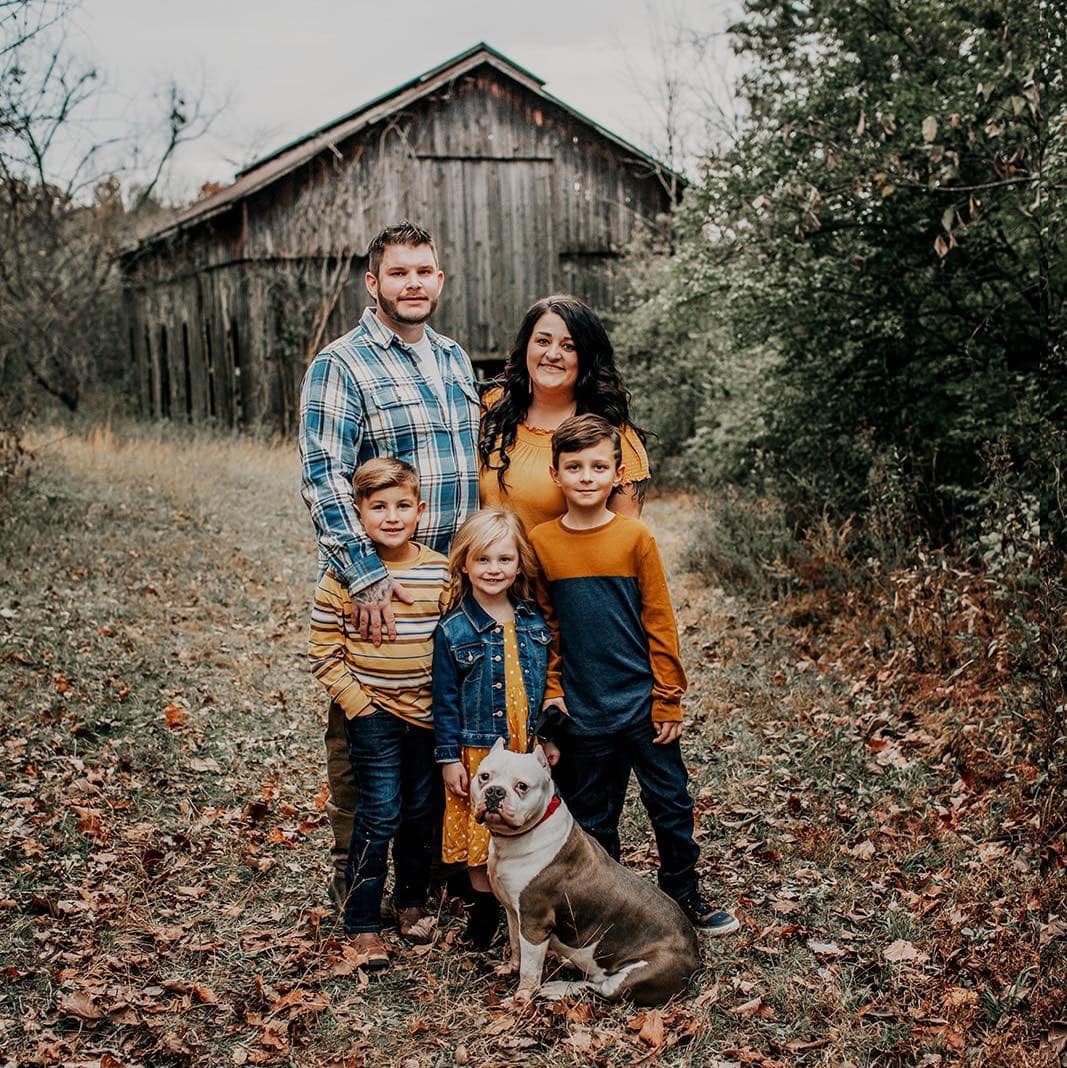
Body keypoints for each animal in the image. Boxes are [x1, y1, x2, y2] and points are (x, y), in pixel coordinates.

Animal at [474, 739, 704, 1003]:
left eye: (521, 786)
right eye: (484, 776)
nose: (494, 791)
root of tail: (695, 958)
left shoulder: (535, 923)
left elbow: (529, 969)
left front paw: (521, 999)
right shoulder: (514, 913)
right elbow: (516, 946)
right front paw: (510, 968)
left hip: (637, 975)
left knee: (601, 988)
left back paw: (558, 987)